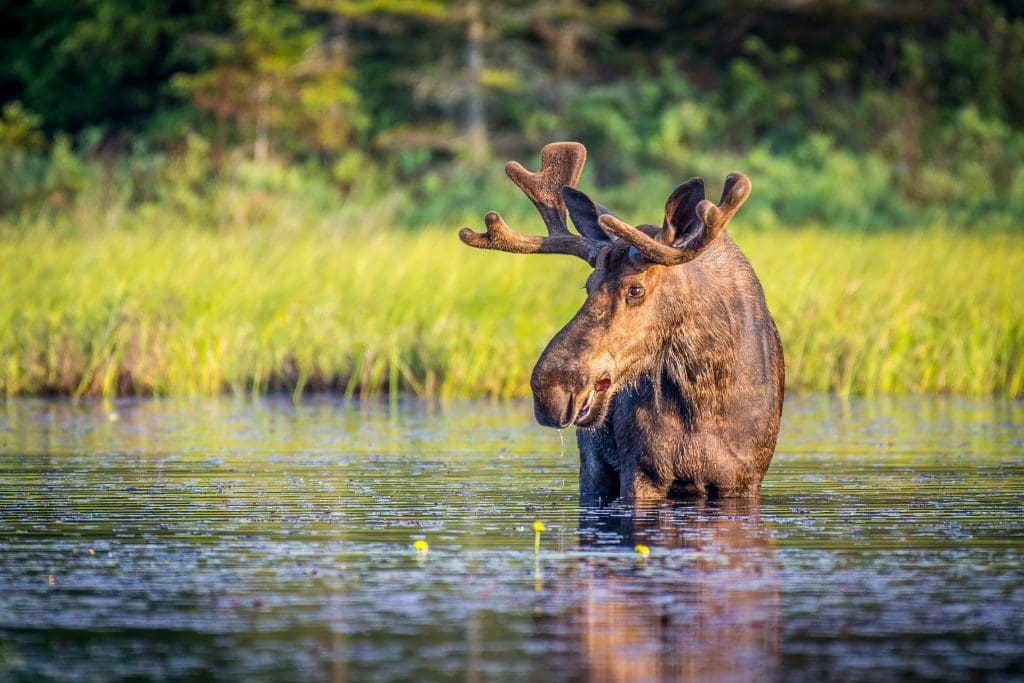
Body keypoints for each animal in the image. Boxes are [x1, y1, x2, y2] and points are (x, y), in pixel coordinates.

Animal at [456, 141, 782, 501]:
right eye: (588, 285)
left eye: (635, 288)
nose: (550, 389)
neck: (705, 398)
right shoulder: (641, 471)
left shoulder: (743, 479)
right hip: (592, 467)